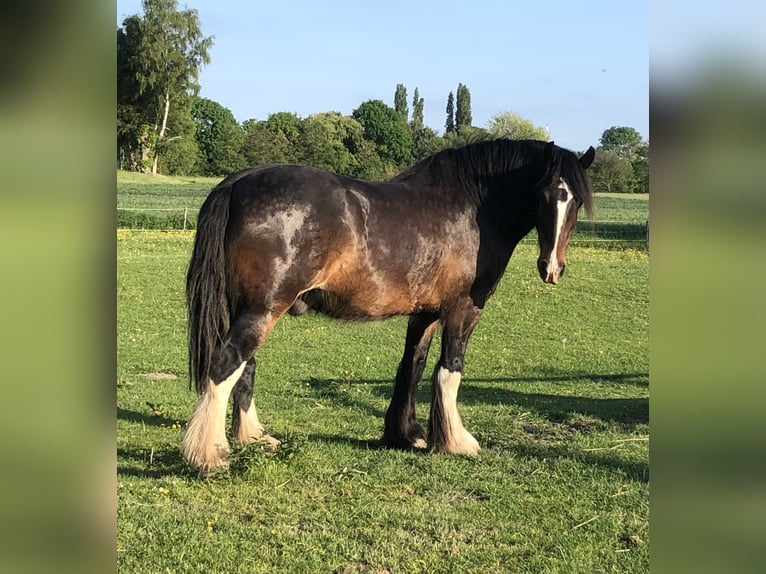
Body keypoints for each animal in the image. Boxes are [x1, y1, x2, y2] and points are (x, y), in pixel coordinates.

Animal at [181, 138, 595, 476]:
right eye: (542, 195)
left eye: (575, 200)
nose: (552, 268)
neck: (472, 207)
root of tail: (240, 182)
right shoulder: (463, 310)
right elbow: (450, 370)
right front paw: (456, 442)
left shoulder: (425, 313)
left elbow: (413, 367)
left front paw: (408, 434)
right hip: (262, 310)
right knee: (226, 365)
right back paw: (210, 455)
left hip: (252, 308)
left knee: (245, 368)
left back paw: (252, 437)